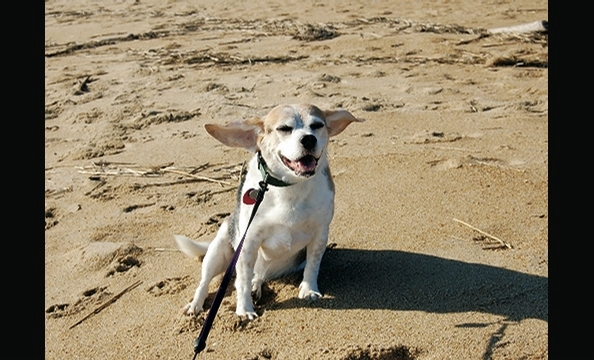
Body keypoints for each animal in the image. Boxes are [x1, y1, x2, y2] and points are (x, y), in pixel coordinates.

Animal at [173, 103, 364, 318]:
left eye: (317, 125)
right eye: (284, 129)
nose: (309, 139)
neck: (290, 186)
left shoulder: (320, 234)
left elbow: (313, 266)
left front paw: (309, 290)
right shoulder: (248, 242)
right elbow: (242, 281)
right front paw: (244, 309)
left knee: (258, 276)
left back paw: (257, 286)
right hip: (218, 251)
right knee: (206, 282)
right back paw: (196, 305)